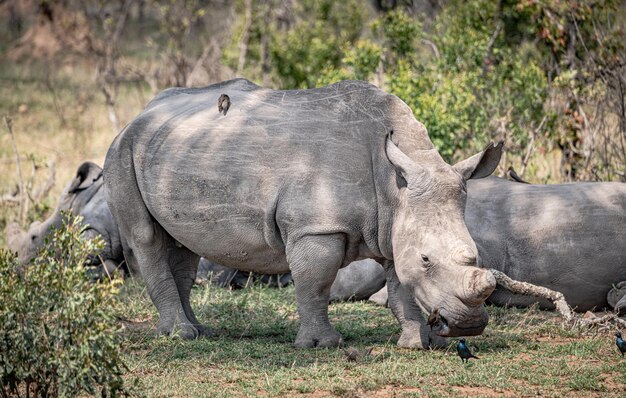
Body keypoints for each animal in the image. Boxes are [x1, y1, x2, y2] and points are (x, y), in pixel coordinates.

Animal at [105, 79, 500, 346]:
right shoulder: (317, 227)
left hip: (174, 150)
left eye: (476, 254)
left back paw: (200, 331)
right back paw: (180, 335)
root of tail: (140, 113)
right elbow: (317, 283)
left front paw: (418, 344)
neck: (394, 184)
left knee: (183, 245)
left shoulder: (394, 224)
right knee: (146, 237)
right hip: (122, 150)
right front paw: (322, 344)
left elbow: (400, 285)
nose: (469, 325)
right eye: (426, 260)